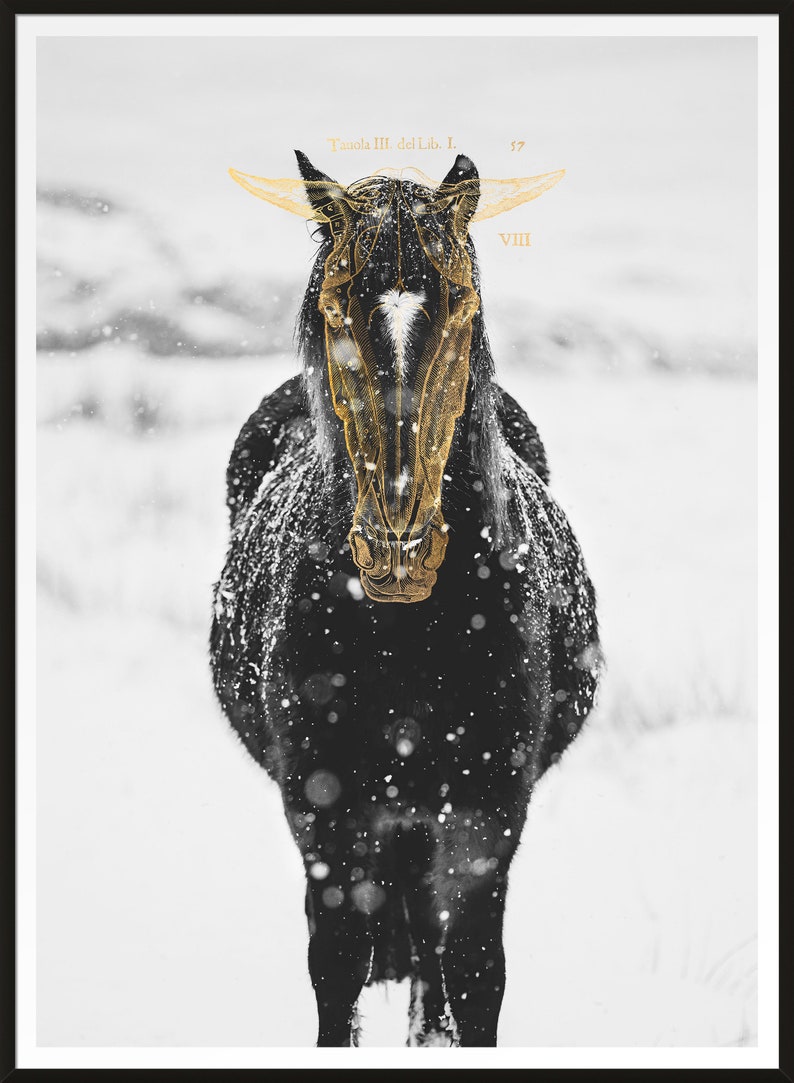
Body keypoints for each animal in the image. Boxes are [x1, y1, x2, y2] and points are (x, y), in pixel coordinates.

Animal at [210, 150, 601, 1047]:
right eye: (333, 304)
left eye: (461, 302)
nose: (398, 543)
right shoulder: (328, 814)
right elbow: (338, 964)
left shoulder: (486, 816)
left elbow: (476, 971)